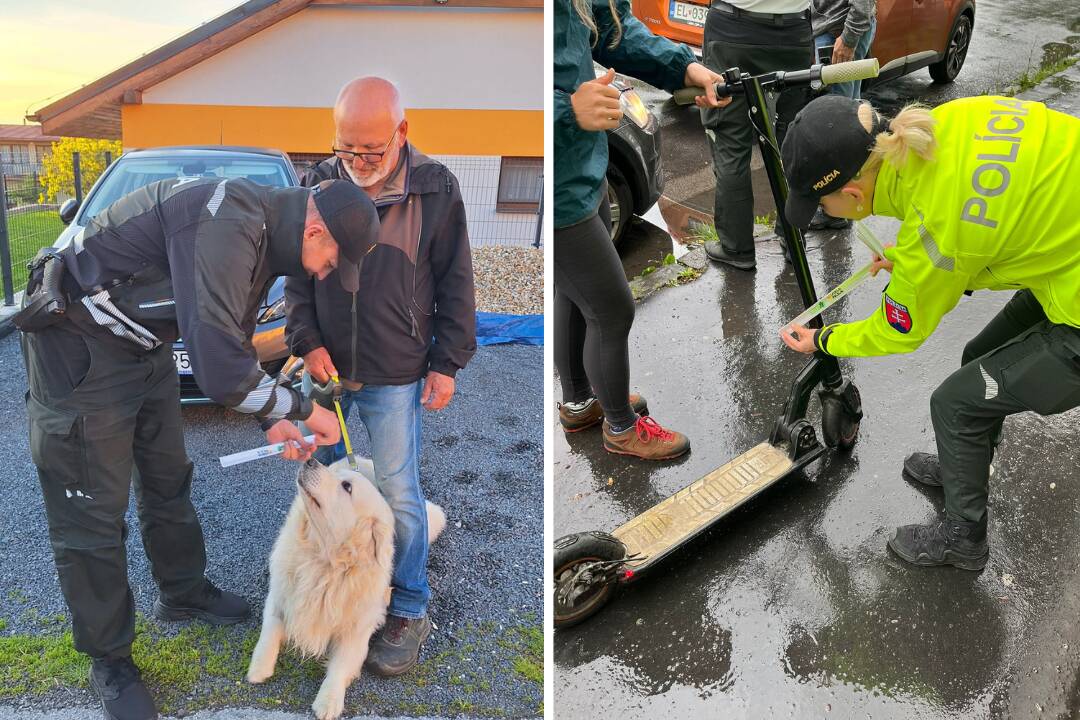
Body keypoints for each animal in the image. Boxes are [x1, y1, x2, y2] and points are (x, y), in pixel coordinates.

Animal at [247, 459, 444, 716]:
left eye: (347, 487)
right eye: (338, 476)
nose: (310, 460)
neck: (325, 561)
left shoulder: (357, 628)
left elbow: (341, 665)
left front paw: (329, 700)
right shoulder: (280, 595)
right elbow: (269, 629)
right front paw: (259, 667)